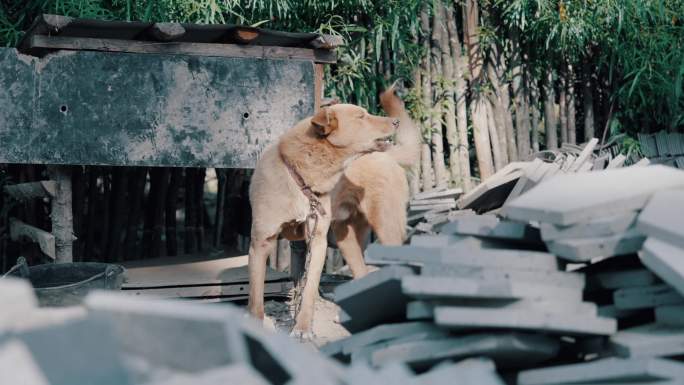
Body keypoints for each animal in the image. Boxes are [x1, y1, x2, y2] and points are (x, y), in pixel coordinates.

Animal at [247, 102, 398, 336]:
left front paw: (302, 327)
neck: (304, 179)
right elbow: (256, 299)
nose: (396, 121)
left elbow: (309, 291)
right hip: (348, 242)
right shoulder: (260, 243)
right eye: (361, 117)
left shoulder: (318, 241)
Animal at [328, 86, 420, 278]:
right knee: (359, 267)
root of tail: (387, 155)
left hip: (384, 223)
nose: (395, 122)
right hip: (348, 233)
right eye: (362, 117)